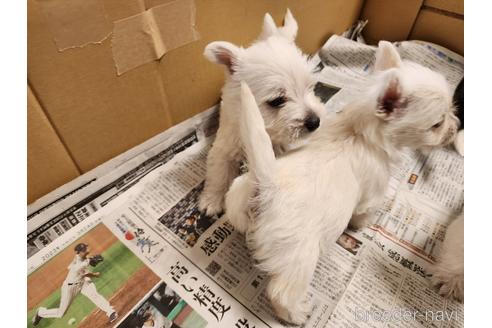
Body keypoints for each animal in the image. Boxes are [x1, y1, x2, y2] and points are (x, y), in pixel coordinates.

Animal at [198, 9, 324, 217]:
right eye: (277, 101)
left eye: (312, 87)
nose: (315, 122)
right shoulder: (224, 146)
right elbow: (219, 172)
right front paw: (211, 201)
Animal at [225, 42, 460, 324]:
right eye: (437, 124)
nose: (456, 126)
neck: (358, 132)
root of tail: (267, 183)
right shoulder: (372, 194)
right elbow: (363, 213)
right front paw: (363, 225)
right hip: (300, 255)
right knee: (282, 292)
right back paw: (298, 313)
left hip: (238, 197)